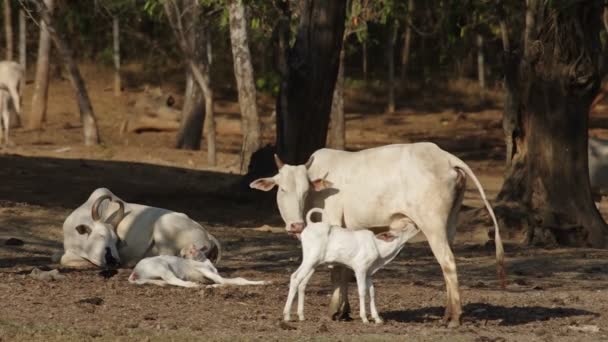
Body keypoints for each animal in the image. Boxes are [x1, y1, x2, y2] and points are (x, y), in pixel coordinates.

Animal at [130, 243, 270, 288]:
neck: (203, 261)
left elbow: (235, 280)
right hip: (161, 267)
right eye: (183, 255)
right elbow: (228, 281)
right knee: (172, 279)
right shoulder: (205, 271)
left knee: (161, 281)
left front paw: (265, 282)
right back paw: (192, 285)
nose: (191, 249)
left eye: (194, 246)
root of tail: (135, 270)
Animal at [284, 208, 418, 324]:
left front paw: (377, 319)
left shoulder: (369, 272)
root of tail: (310, 225)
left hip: (313, 264)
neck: (378, 246)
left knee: (302, 283)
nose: (416, 225)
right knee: (295, 277)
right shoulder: (360, 269)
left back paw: (301, 316)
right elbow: (362, 291)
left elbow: (372, 292)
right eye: (404, 226)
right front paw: (364, 318)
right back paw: (287, 316)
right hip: (310, 260)